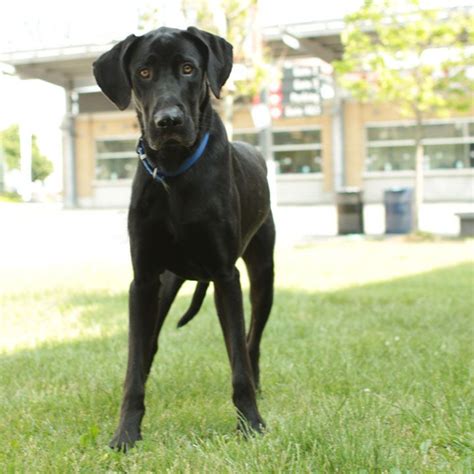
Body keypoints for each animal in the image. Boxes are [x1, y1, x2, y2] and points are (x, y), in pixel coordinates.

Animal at [93, 26, 274, 452]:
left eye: (188, 68)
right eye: (143, 72)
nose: (168, 121)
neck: (175, 174)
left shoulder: (226, 276)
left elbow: (238, 360)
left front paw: (251, 423)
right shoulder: (142, 281)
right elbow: (134, 365)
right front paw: (126, 432)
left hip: (263, 274)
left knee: (251, 340)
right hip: (163, 286)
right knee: (148, 346)